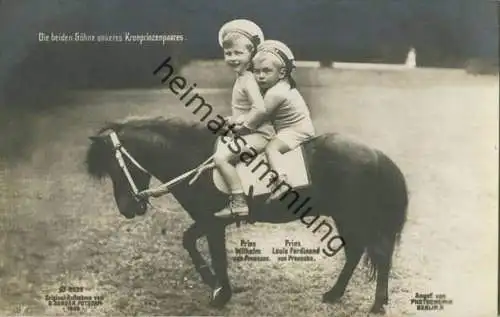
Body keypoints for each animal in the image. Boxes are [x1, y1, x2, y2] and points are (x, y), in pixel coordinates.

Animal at [85, 116, 406, 314]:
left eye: (116, 168)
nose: (128, 209)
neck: (194, 158)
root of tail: (376, 155)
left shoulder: (212, 222)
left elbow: (211, 252)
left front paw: (219, 292)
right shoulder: (209, 221)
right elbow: (189, 241)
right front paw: (213, 282)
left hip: (356, 216)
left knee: (377, 255)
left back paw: (377, 304)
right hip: (346, 217)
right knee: (356, 253)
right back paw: (335, 294)